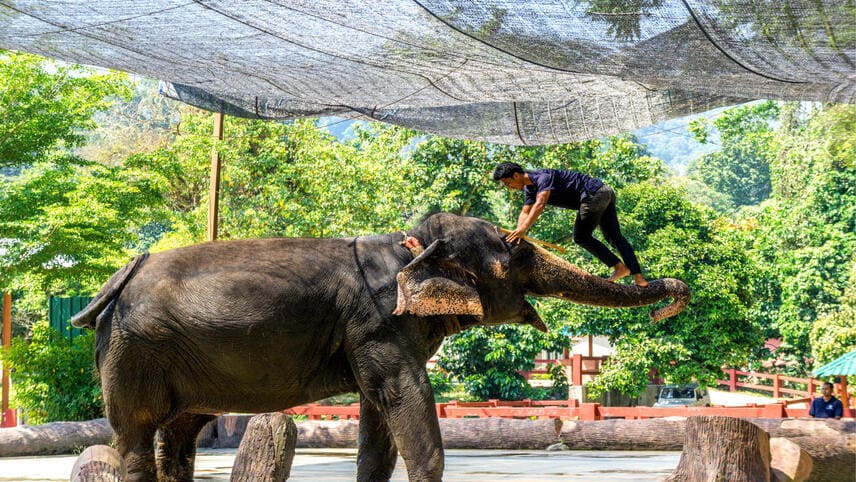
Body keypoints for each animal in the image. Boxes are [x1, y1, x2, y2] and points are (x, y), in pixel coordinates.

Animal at [72, 213, 688, 480]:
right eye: (512, 251)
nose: (674, 296)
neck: (409, 244)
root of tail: (120, 276)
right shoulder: (377, 324)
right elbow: (406, 403)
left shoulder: (370, 334)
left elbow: (378, 424)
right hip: (135, 351)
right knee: (136, 434)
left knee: (180, 434)